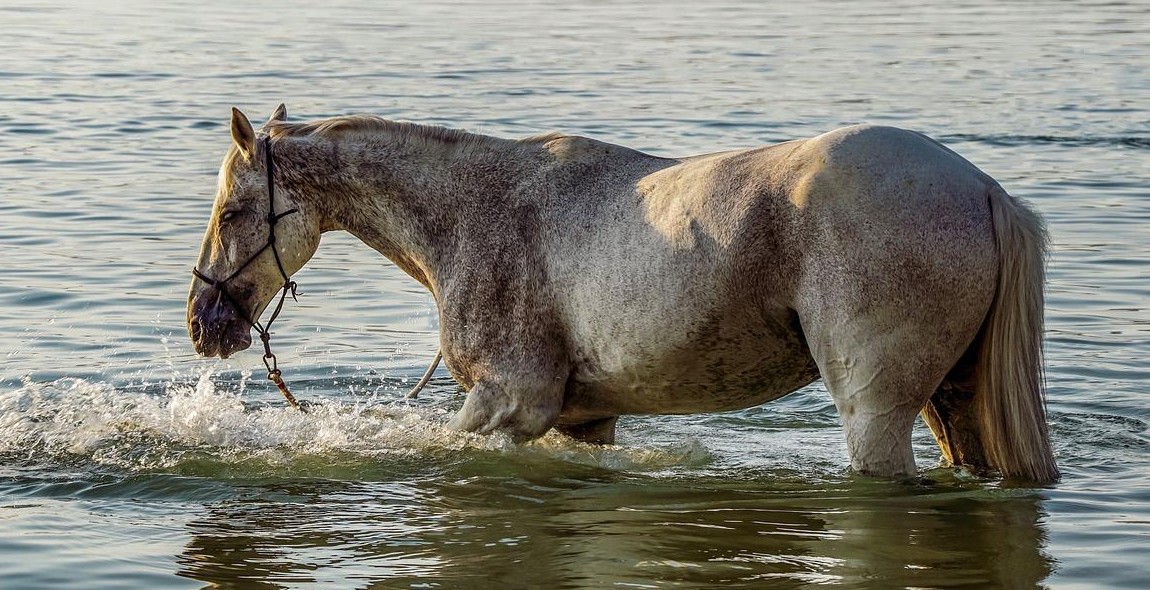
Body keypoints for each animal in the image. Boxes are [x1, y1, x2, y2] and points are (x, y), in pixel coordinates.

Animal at [188, 105, 1058, 483]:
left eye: (231, 212)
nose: (204, 322)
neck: (478, 208)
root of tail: (982, 190)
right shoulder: (582, 420)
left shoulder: (510, 403)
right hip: (953, 403)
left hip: (876, 410)